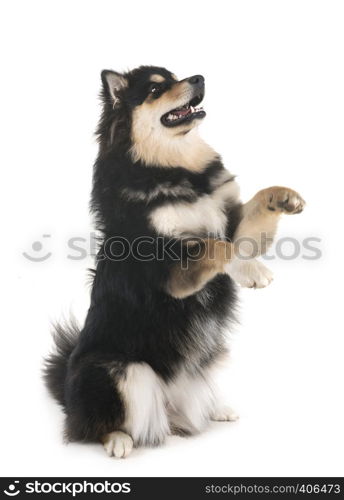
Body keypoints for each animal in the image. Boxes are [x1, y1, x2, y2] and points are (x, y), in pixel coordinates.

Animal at [44, 65, 306, 458]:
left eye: (174, 75)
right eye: (155, 89)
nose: (198, 78)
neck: (176, 166)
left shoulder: (230, 218)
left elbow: (245, 220)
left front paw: (283, 197)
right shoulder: (170, 270)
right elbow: (216, 247)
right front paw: (252, 271)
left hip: (207, 360)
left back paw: (216, 408)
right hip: (120, 371)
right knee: (94, 425)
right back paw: (117, 439)